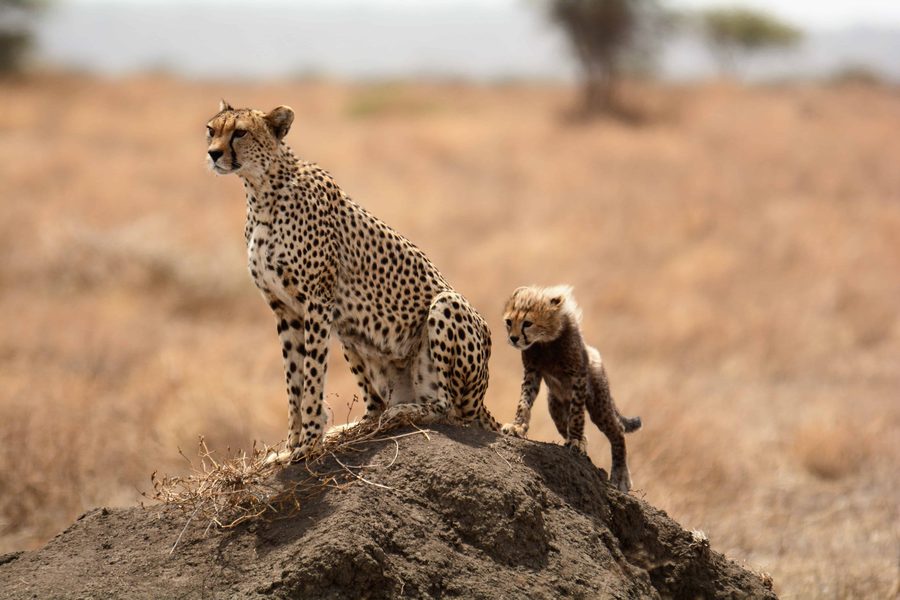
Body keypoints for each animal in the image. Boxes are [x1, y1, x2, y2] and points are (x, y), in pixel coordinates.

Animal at [205, 100, 500, 461]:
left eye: (240, 132)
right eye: (211, 130)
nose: (213, 154)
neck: (262, 191)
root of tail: (482, 400)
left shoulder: (317, 301)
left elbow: (312, 376)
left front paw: (309, 443)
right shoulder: (284, 310)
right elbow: (293, 380)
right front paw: (290, 446)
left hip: (446, 307)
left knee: (449, 409)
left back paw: (402, 414)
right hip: (349, 331)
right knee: (376, 405)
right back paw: (351, 429)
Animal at [500, 284, 641, 492]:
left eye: (527, 323)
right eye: (509, 322)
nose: (514, 338)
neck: (546, 341)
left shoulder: (578, 375)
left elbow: (576, 414)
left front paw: (575, 439)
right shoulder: (532, 372)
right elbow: (524, 402)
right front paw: (517, 426)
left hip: (599, 403)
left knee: (617, 431)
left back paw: (620, 476)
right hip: (555, 407)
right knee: (566, 423)